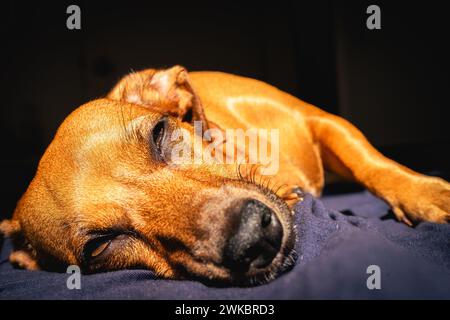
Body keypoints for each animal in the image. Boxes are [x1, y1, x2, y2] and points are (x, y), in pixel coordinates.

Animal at [0, 65, 450, 284]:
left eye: (159, 132)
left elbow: (370, 162)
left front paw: (425, 193)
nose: (253, 238)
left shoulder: (320, 120)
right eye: (99, 247)